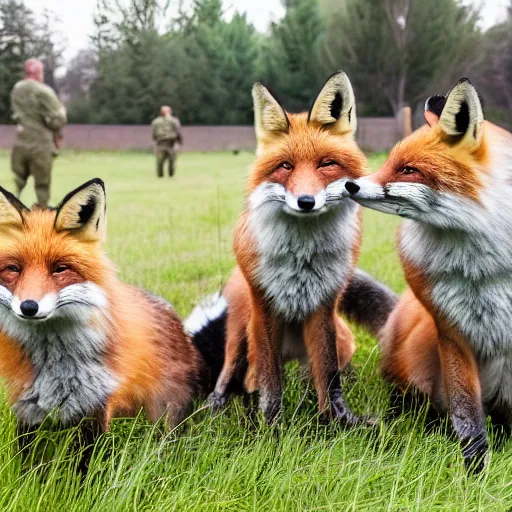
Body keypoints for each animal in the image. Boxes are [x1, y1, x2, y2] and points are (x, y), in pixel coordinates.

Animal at [0, 179, 203, 444]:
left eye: (60, 268)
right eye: (13, 269)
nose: (28, 307)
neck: (53, 363)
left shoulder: (94, 406)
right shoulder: (26, 407)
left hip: (167, 412)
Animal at [186, 71, 398, 424]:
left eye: (326, 164)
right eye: (285, 166)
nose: (306, 202)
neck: (303, 256)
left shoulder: (324, 304)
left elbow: (329, 376)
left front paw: (338, 421)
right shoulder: (265, 307)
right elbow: (270, 383)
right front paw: (271, 426)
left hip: (336, 339)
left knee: (319, 372)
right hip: (241, 328)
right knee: (234, 373)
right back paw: (217, 407)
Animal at [342, 79, 512, 472]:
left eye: (408, 170)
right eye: (390, 162)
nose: (349, 185)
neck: (481, 267)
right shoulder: (452, 327)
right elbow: (466, 411)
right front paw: (475, 468)